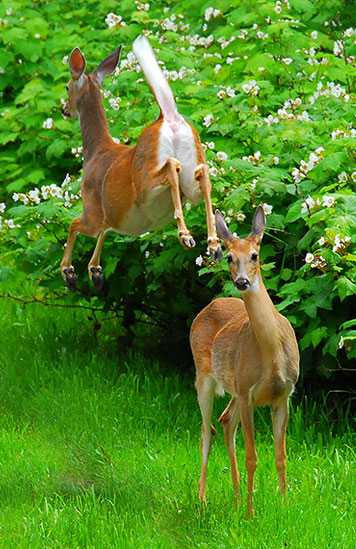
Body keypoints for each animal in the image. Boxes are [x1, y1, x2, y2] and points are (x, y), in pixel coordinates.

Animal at [61, 35, 222, 288]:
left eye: (67, 86)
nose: (64, 110)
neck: (95, 151)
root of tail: (169, 117)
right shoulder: (114, 217)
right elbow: (107, 230)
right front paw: (95, 271)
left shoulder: (92, 211)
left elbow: (75, 224)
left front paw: (69, 272)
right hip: (191, 171)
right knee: (203, 175)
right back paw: (214, 245)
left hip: (145, 185)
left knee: (170, 167)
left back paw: (185, 235)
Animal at [191, 206, 298, 512]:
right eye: (228, 256)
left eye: (254, 255)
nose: (241, 281)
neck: (271, 355)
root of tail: (210, 304)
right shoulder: (249, 393)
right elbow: (252, 457)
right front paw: (251, 513)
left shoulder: (284, 394)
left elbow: (281, 456)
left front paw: (285, 505)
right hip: (204, 378)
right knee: (206, 432)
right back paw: (204, 499)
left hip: (235, 388)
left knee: (226, 422)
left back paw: (236, 497)